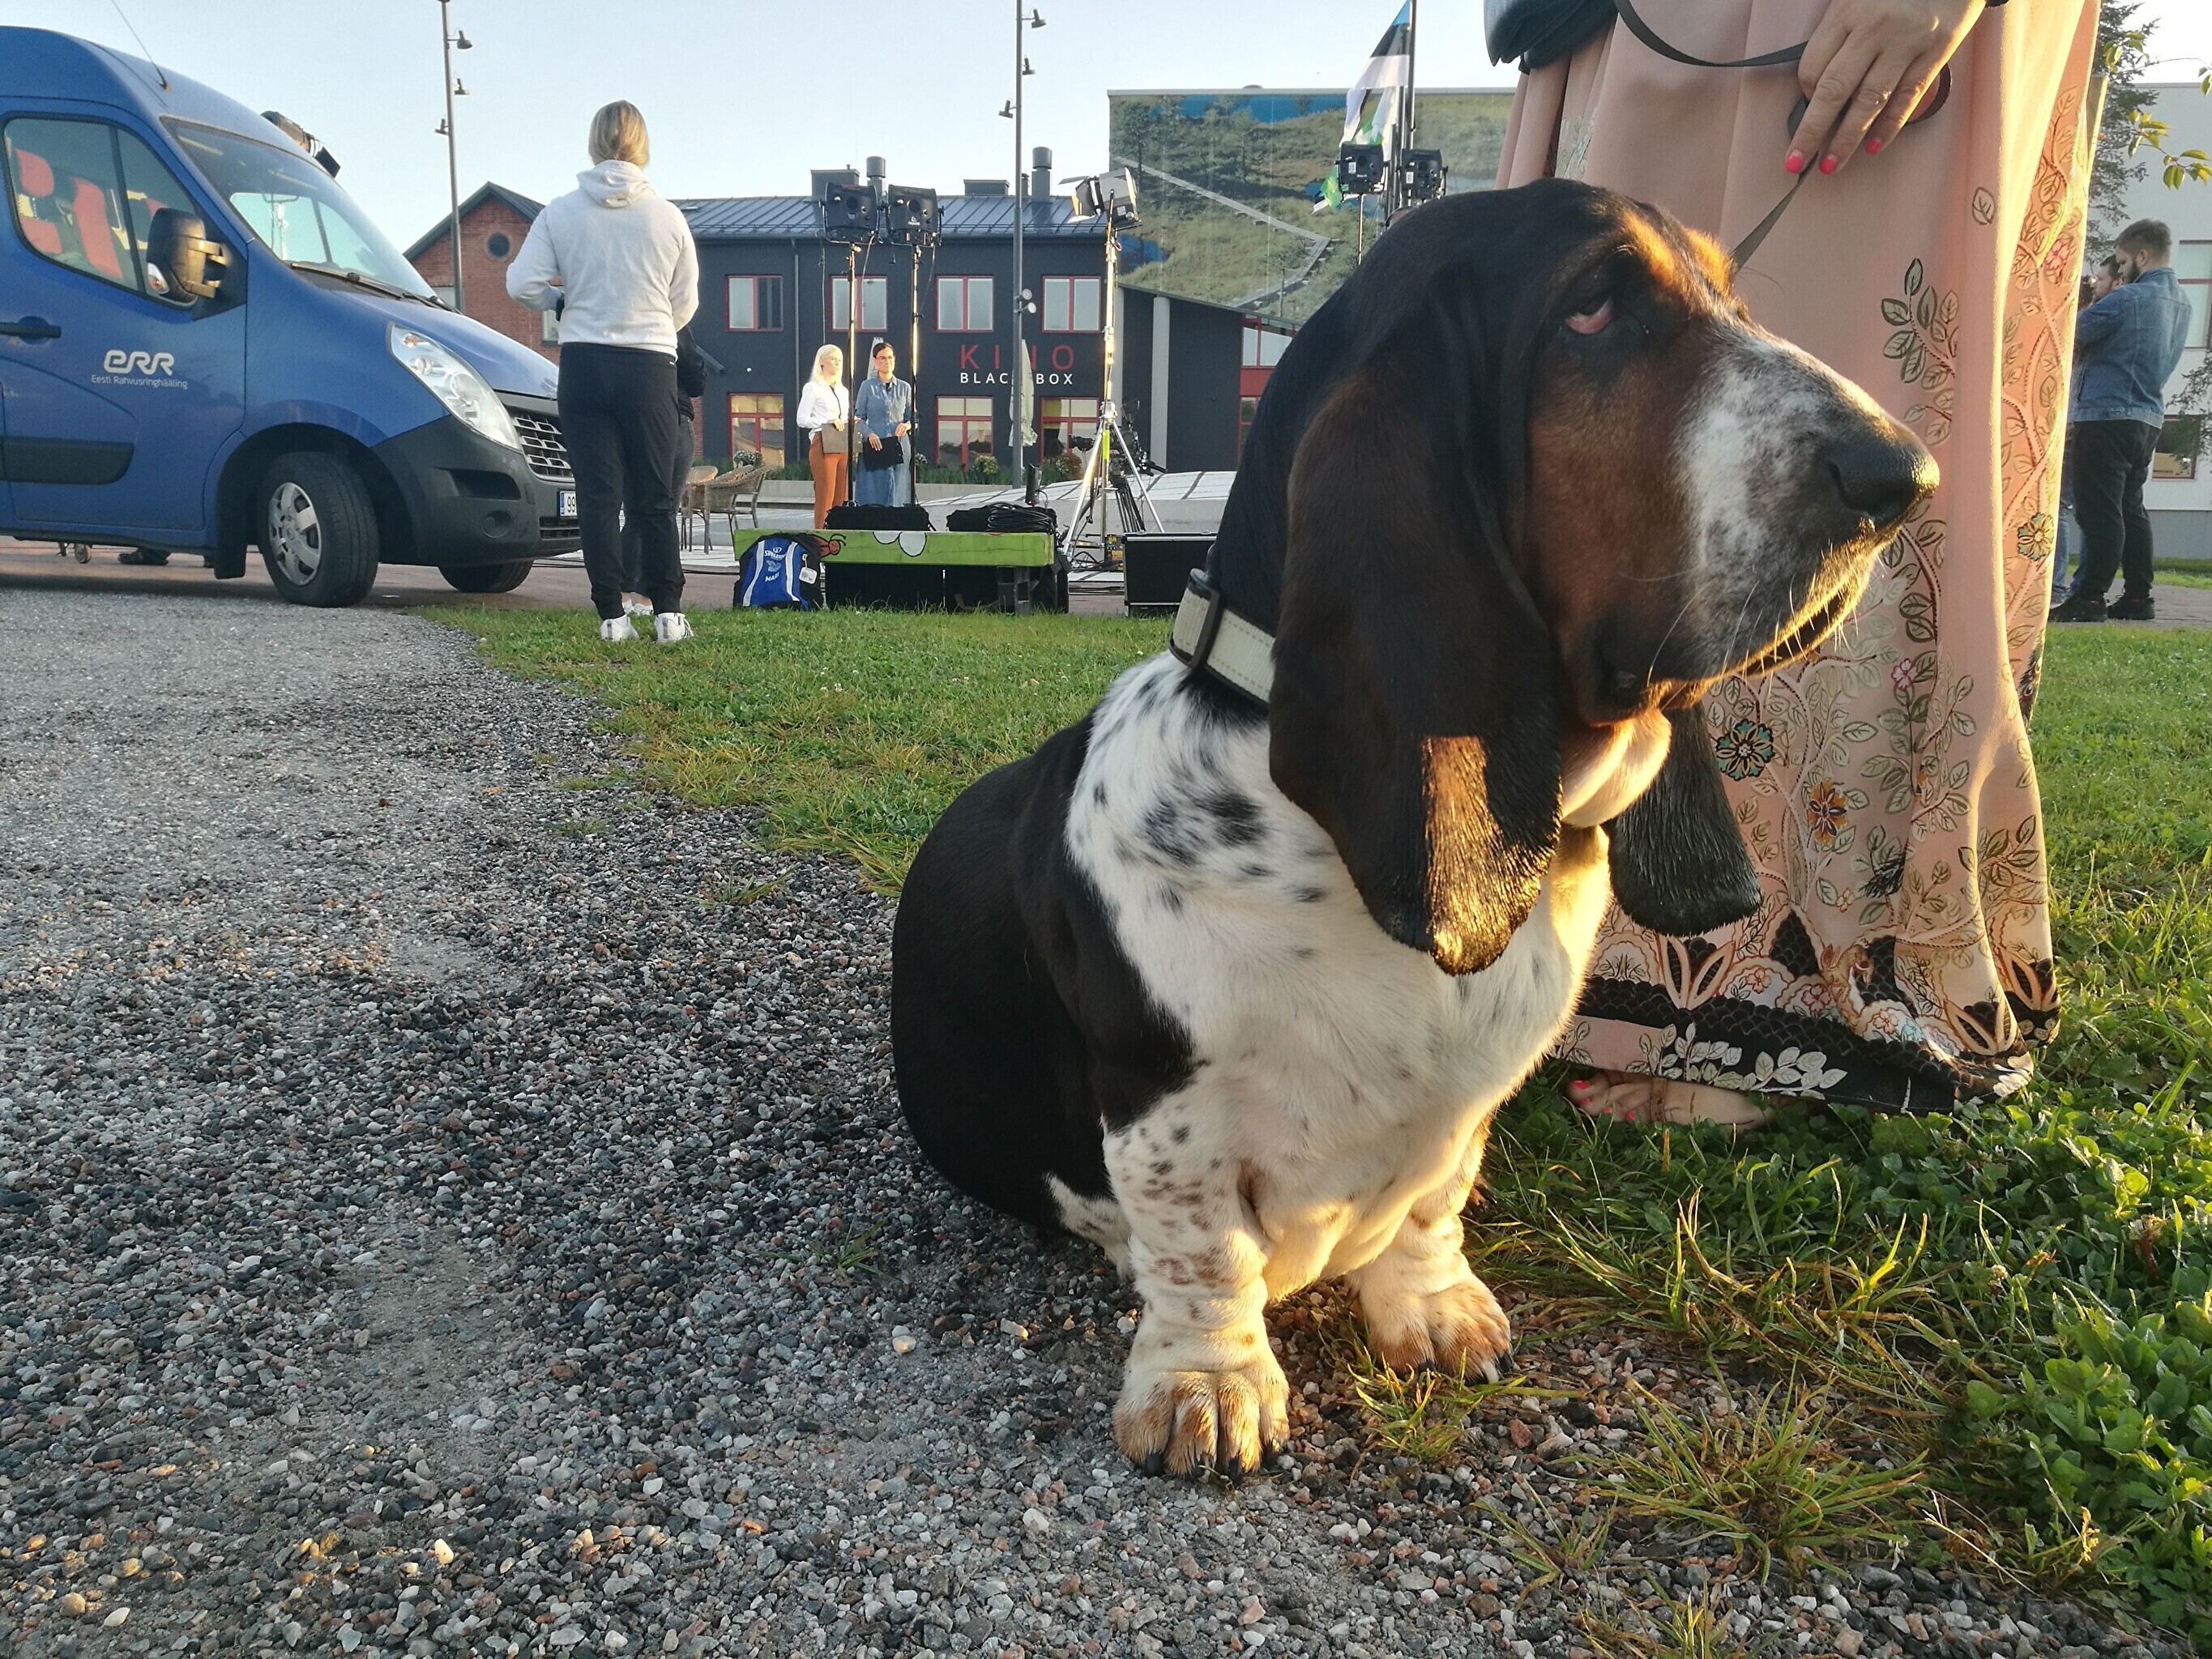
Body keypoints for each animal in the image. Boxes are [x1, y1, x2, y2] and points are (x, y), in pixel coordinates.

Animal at [892, 180, 1934, 1478]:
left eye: (1731, 299)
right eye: (1592, 309)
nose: (1905, 475)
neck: (1326, 857)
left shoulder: (1467, 1107)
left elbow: (1436, 1197)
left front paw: (1431, 1310)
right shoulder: (1164, 1111)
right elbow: (1203, 1251)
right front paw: (1205, 1386)